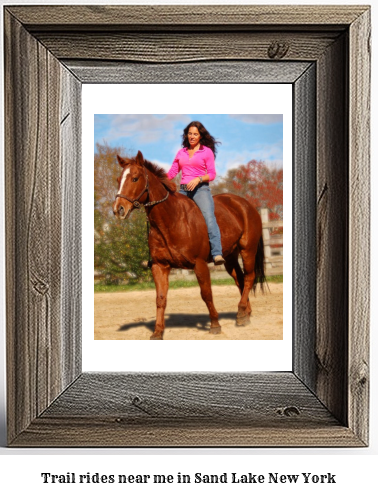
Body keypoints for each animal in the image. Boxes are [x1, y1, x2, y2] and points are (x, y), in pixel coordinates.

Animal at [112, 151, 266, 340]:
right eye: (119, 179)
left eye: (135, 178)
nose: (118, 209)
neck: (172, 219)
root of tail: (246, 205)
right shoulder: (159, 266)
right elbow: (160, 298)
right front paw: (157, 331)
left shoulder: (199, 264)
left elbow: (206, 294)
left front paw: (215, 325)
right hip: (230, 257)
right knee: (241, 280)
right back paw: (244, 315)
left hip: (247, 250)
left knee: (250, 277)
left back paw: (241, 311)